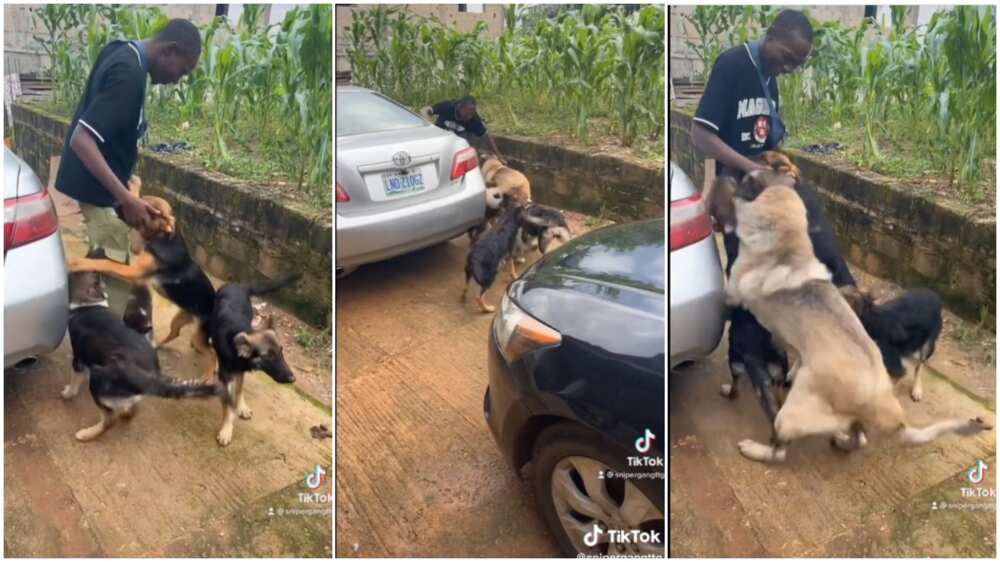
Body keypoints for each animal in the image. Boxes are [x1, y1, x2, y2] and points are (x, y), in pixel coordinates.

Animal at [66, 250, 229, 442]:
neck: (89, 305)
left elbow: (74, 380)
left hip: (99, 381)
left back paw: (87, 433)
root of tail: (146, 378)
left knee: (109, 419)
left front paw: (68, 393)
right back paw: (125, 413)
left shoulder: (78, 359)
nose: (96, 252)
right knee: (131, 409)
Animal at [207, 274, 300, 444]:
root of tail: (238, 285)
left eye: (281, 351)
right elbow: (228, 406)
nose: (292, 379)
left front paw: (241, 406)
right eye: (268, 356)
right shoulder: (228, 376)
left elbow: (239, 389)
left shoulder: (240, 371)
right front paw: (226, 429)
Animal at [720, 170, 992, 460]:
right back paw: (842, 441)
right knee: (859, 437)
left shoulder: (733, 291)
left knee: (780, 449)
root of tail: (883, 403)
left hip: (790, 413)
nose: (732, 177)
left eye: (749, 179)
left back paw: (754, 448)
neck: (788, 248)